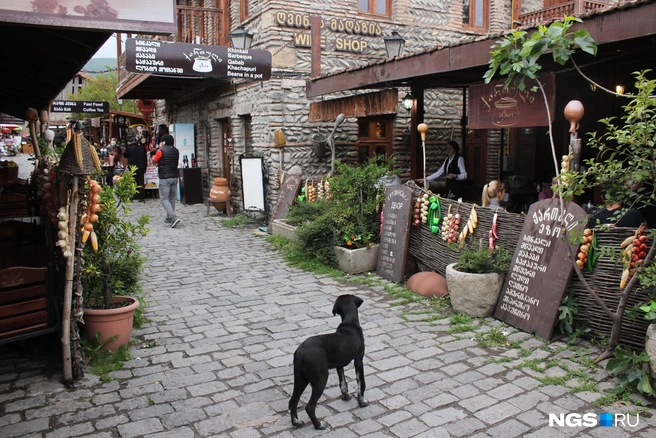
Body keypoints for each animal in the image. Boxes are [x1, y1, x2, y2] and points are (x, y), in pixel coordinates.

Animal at [288, 292, 368, 430]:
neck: (350, 323)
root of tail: (300, 352)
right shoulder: (359, 359)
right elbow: (361, 383)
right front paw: (361, 402)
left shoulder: (339, 365)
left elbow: (343, 383)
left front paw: (345, 396)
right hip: (320, 378)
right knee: (309, 407)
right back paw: (319, 425)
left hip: (301, 378)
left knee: (293, 401)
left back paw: (296, 422)